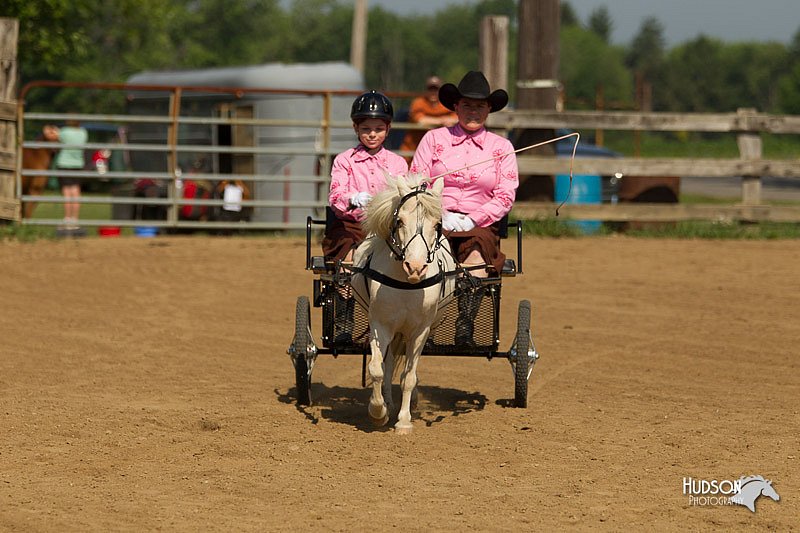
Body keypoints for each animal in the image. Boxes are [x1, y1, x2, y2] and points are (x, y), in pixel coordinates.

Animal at [352, 175, 456, 432]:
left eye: (437, 224)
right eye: (399, 221)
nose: (415, 267)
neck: (407, 284)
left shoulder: (420, 330)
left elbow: (409, 376)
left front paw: (404, 420)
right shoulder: (380, 325)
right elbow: (377, 369)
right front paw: (378, 411)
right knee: (388, 364)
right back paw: (388, 402)